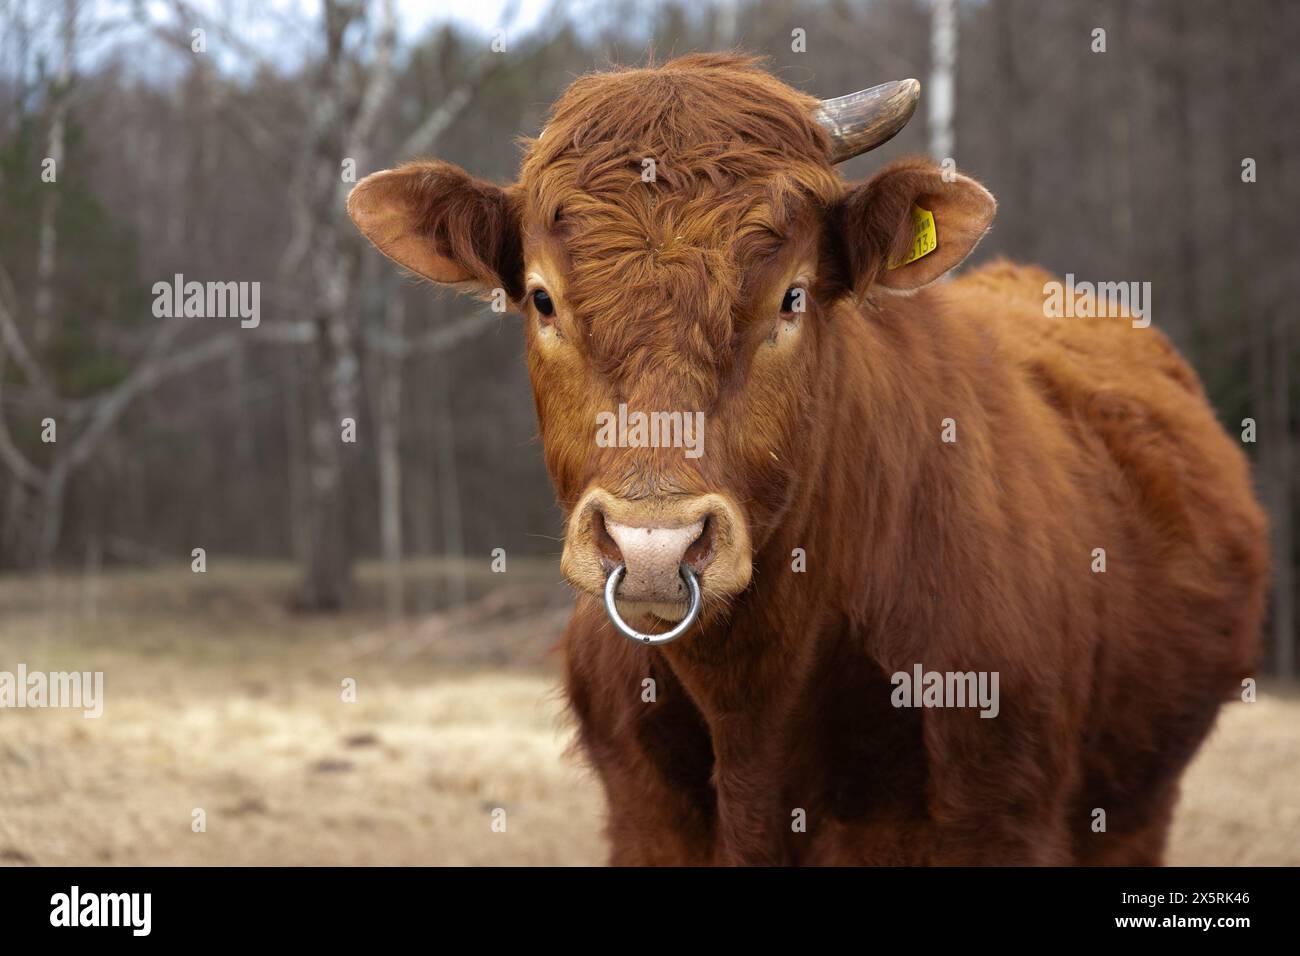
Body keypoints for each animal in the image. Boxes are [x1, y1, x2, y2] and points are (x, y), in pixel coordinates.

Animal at [348, 54, 1269, 865]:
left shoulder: (999, 818)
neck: (754, 705)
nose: (654, 547)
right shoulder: (645, 822)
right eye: (541, 298)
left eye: (791, 296)